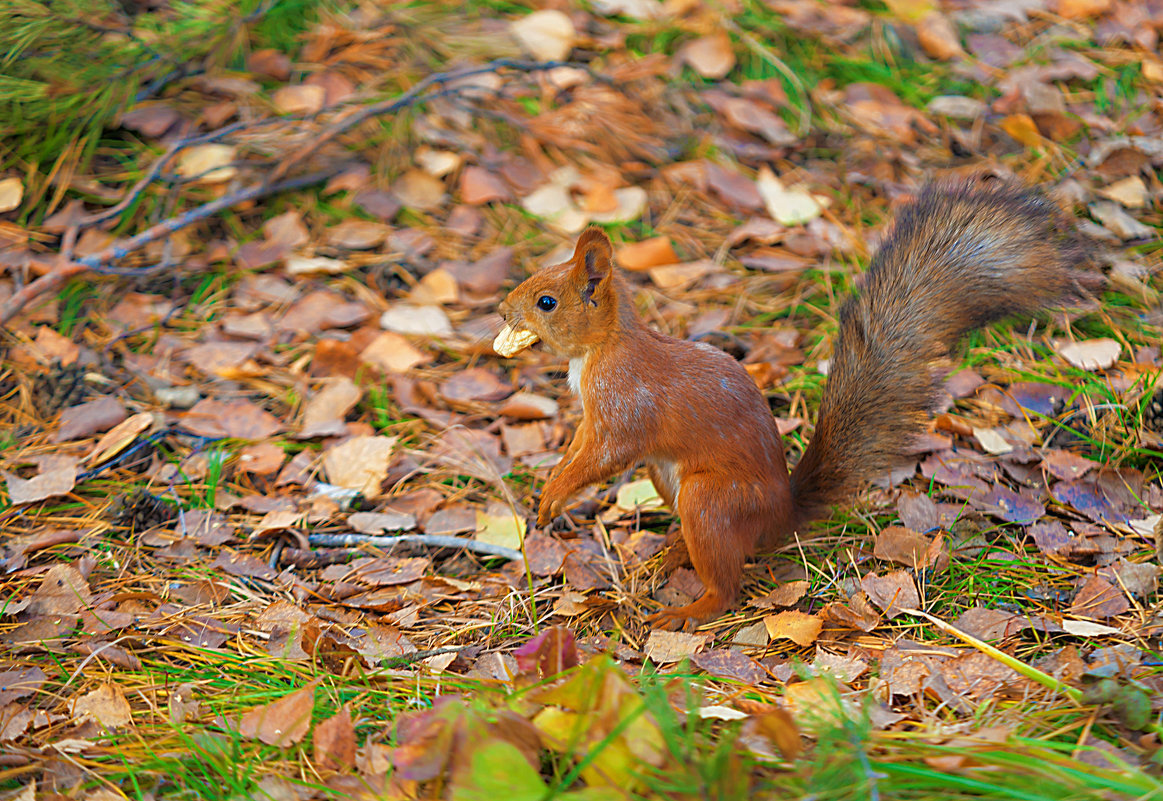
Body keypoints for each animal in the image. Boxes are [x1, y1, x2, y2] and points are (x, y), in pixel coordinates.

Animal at [490, 177, 1097, 627]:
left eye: (547, 301)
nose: (501, 310)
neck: (601, 349)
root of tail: (781, 514)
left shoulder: (623, 405)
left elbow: (602, 456)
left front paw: (554, 496)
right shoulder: (591, 419)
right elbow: (578, 448)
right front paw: (548, 488)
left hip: (709, 500)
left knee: (727, 582)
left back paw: (688, 608)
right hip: (668, 480)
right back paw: (672, 553)